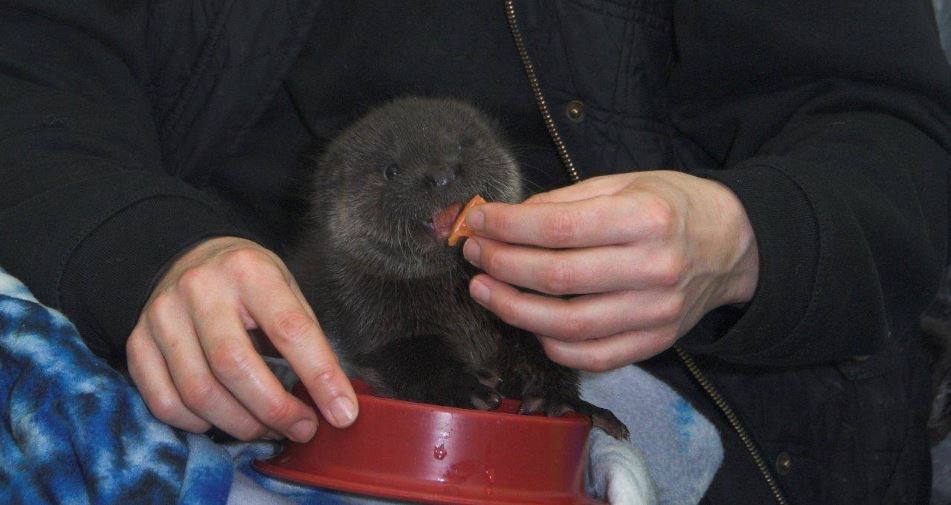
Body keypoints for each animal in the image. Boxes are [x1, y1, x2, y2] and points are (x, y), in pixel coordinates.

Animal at [290, 97, 632, 438]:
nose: (441, 174)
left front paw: (563, 399)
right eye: (391, 169)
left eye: (461, 144)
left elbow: (542, 351)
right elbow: (409, 357)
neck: (455, 298)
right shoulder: (366, 309)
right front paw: (466, 387)